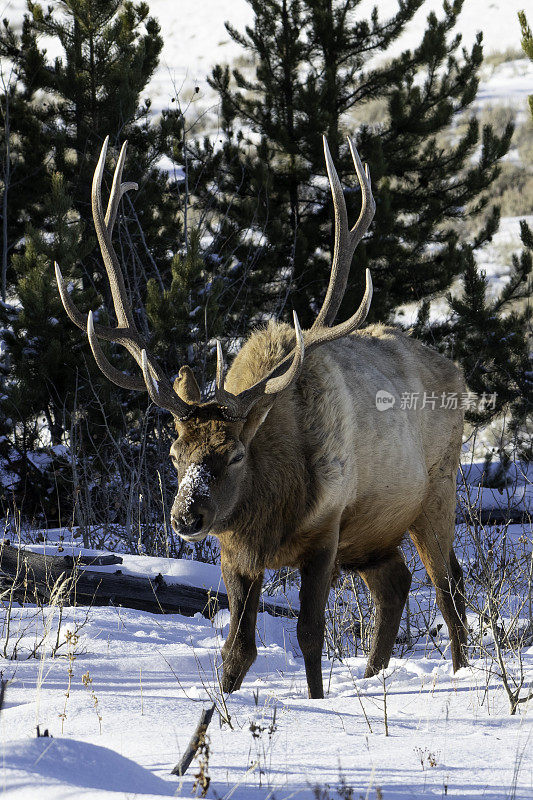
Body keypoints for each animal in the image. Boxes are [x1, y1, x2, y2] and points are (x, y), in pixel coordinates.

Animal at [56, 134, 468, 696]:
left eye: (234, 455)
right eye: (175, 453)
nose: (185, 517)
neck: (272, 504)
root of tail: (459, 374)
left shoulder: (327, 530)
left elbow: (311, 635)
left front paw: (317, 701)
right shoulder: (235, 551)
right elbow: (238, 649)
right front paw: (224, 702)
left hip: (436, 493)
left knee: (451, 593)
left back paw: (460, 672)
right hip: (373, 534)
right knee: (396, 585)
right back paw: (374, 675)